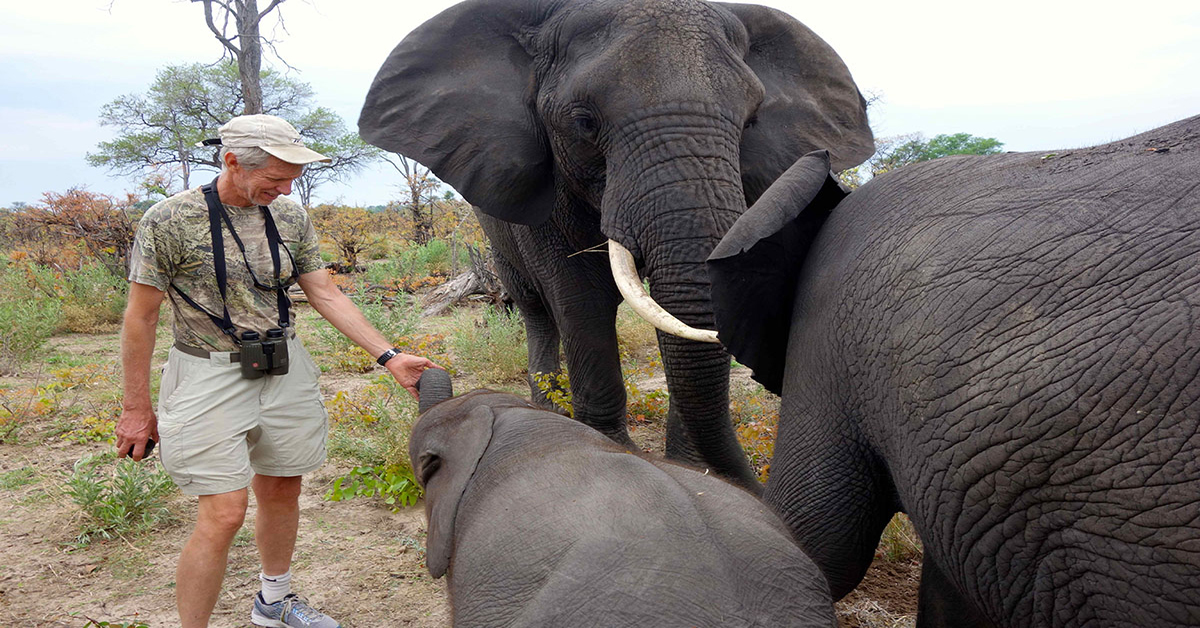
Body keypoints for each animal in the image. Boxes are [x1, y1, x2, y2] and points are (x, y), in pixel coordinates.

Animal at [358, 0, 873, 492]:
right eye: (584, 122)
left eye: (751, 123)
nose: (744, 484)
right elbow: (582, 300)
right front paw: (611, 449)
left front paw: (687, 465)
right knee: (534, 307)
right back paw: (549, 406)